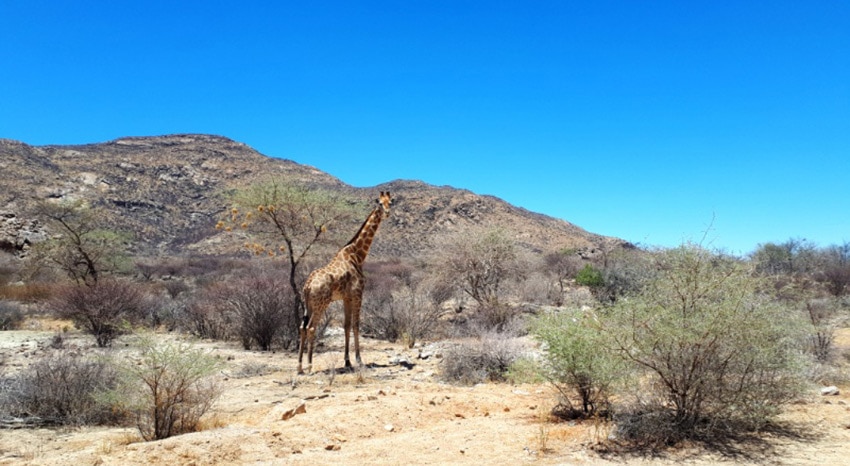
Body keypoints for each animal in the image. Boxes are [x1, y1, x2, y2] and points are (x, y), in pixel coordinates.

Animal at [297, 191, 392, 374]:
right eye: (379, 203)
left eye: (391, 202)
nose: (387, 213)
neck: (358, 255)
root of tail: (307, 286)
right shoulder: (358, 293)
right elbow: (356, 325)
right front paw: (359, 360)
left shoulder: (346, 298)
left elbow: (346, 326)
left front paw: (347, 361)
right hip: (321, 304)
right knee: (311, 328)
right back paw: (310, 365)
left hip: (308, 305)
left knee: (302, 327)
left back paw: (299, 367)